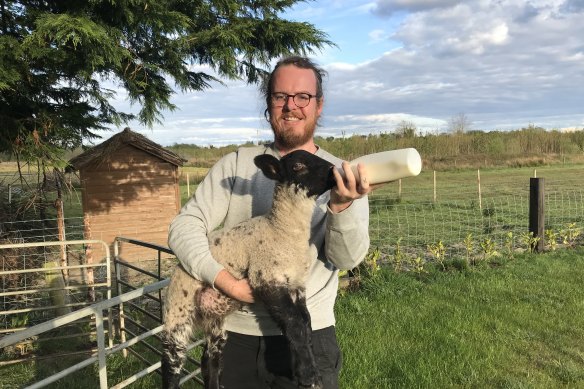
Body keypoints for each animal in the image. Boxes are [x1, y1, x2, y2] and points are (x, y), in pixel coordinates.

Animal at [162, 150, 338, 388]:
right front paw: (309, 375)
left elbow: (306, 323)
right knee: (171, 361)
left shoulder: (297, 285)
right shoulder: (265, 276)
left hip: (215, 320)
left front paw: (304, 367)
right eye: (298, 165)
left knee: (210, 359)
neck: (281, 231)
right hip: (178, 308)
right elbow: (295, 324)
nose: (335, 171)